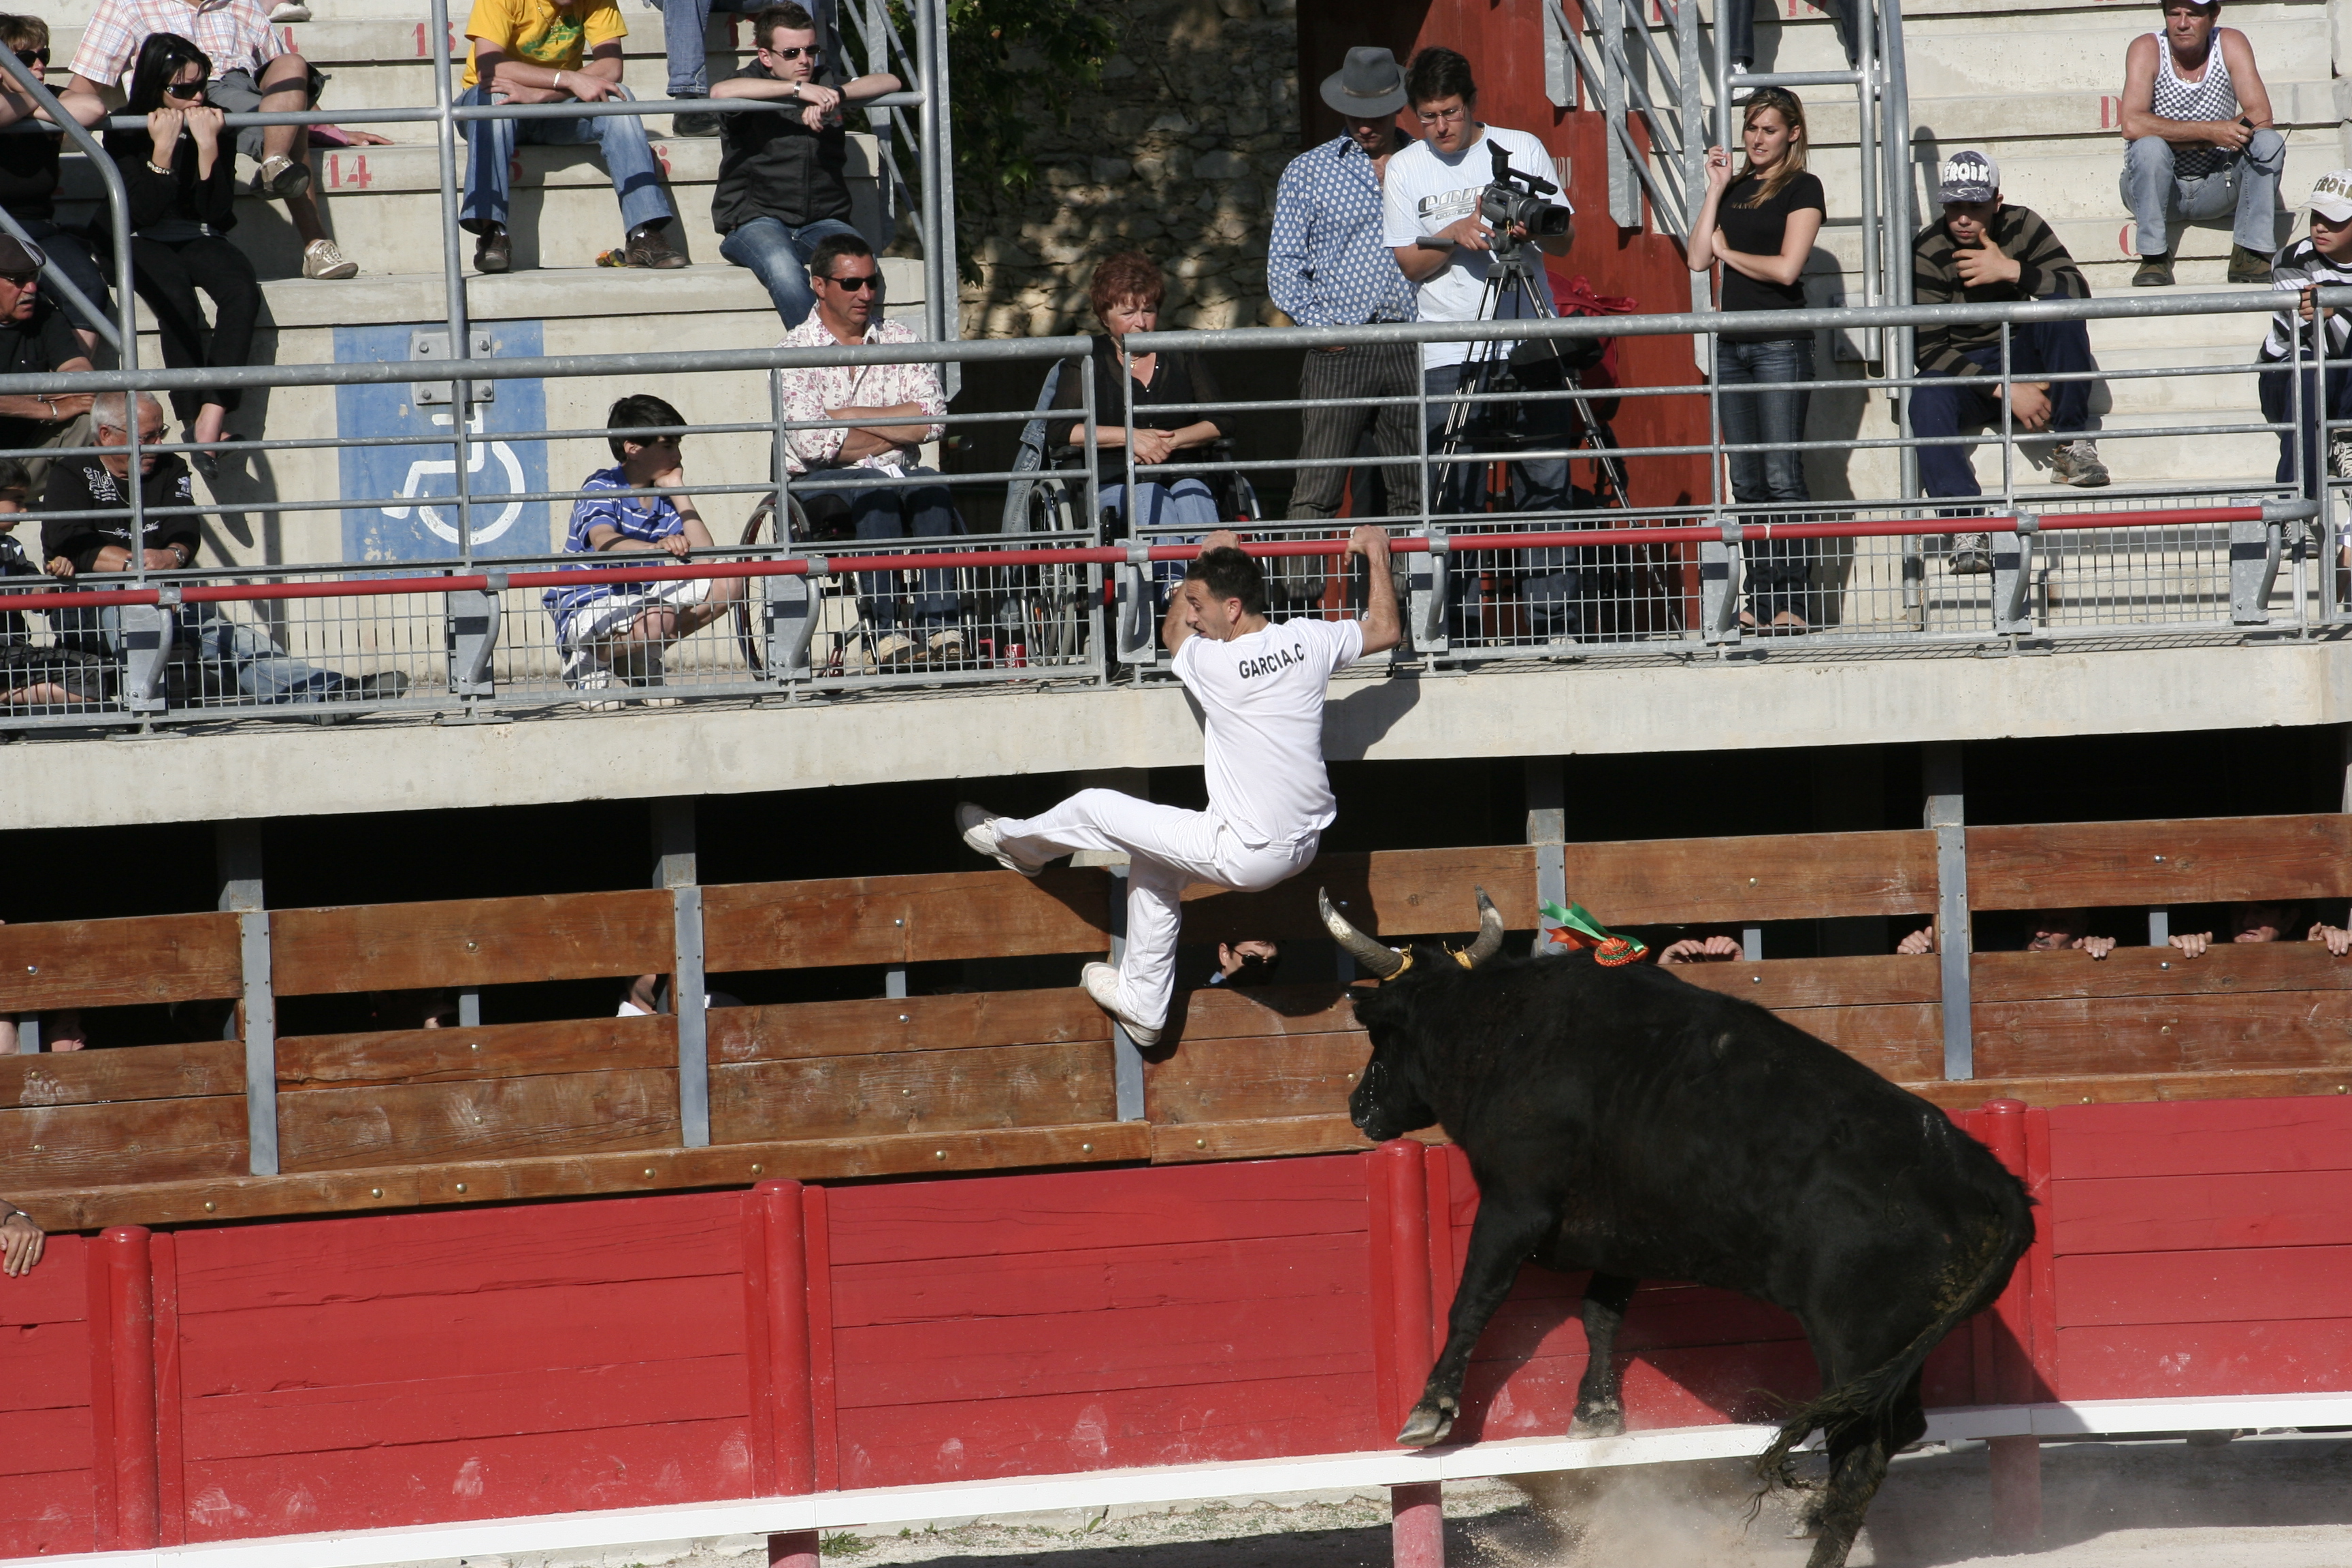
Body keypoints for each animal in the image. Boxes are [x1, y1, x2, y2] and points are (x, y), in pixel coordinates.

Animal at [1326, 893, 2041, 1568]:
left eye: (1381, 1035)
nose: (1359, 1108)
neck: (1501, 1027)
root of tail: (1994, 1181)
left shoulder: (1513, 1202)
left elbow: (1474, 1298)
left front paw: (1430, 1412)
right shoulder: (1623, 1229)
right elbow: (1601, 1312)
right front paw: (1596, 1415)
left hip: (1856, 1339)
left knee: (1862, 1451)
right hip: (1893, 1351)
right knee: (1896, 1429)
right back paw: (1811, 1520)